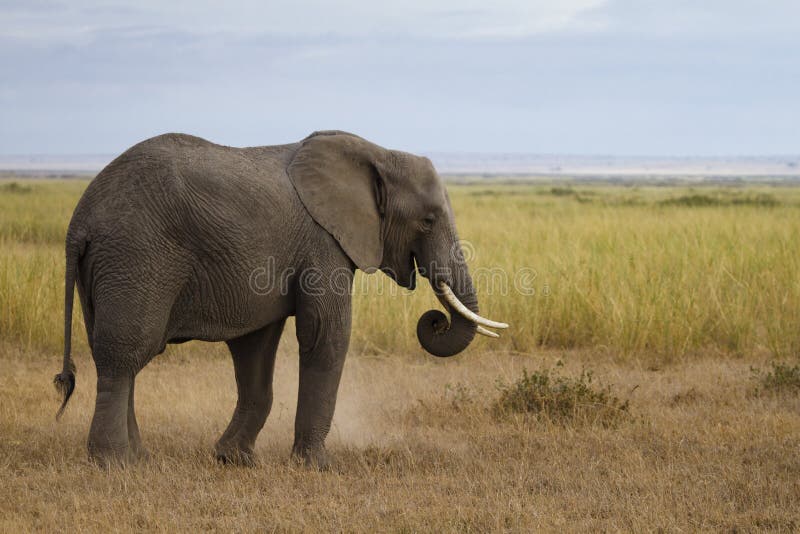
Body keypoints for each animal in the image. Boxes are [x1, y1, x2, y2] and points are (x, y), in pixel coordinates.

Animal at [53, 131, 510, 468]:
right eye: (428, 220)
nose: (435, 319)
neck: (379, 154)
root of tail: (79, 220)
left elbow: (256, 349)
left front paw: (233, 460)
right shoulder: (324, 243)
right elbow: (326, 335)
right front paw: (317, 466)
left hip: (109, 269)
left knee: (118, 356)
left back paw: (139, 458)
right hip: (135, 257)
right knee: (125, 355)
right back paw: (114, 464)